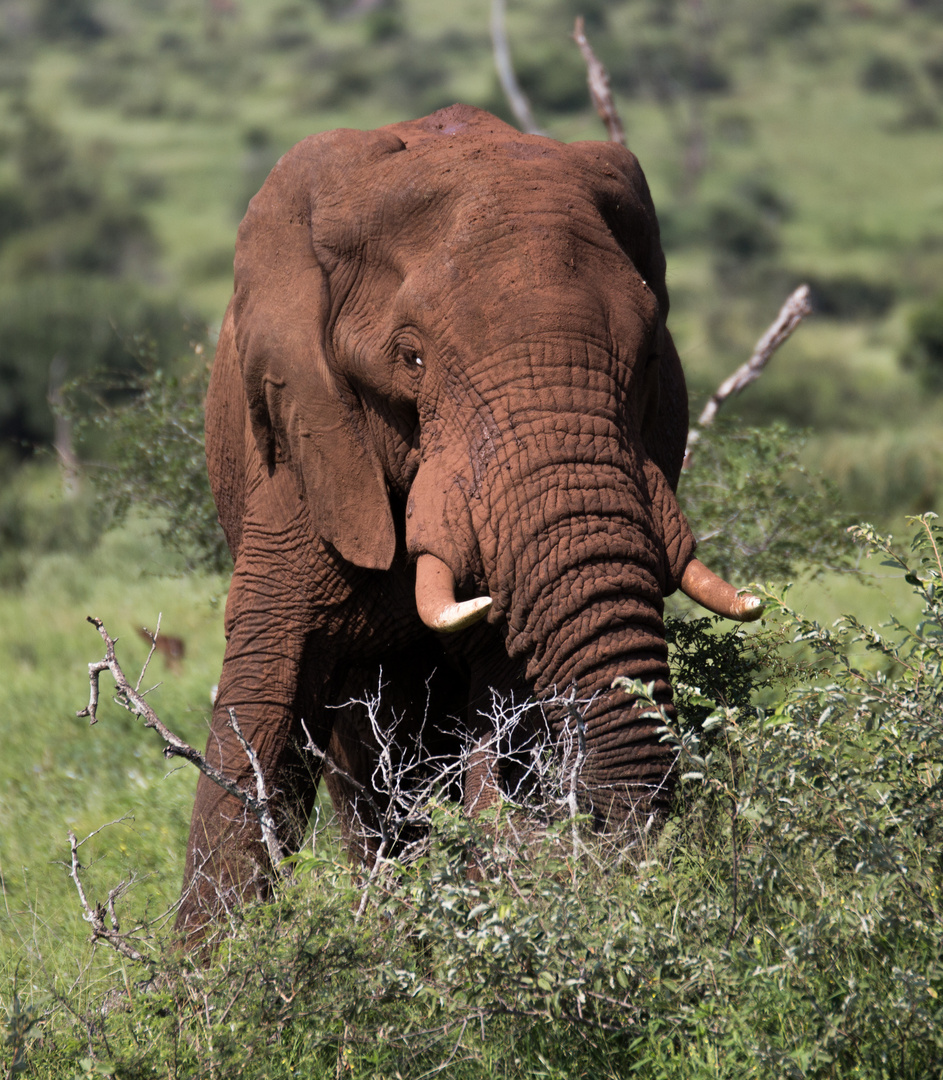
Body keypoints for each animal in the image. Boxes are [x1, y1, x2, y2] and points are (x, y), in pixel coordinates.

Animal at [177, 103, 760, 946]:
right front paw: (208, 972)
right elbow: (264, 697)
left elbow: (505, 694)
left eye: (652, 357)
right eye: (411, 360)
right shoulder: (299, 458)